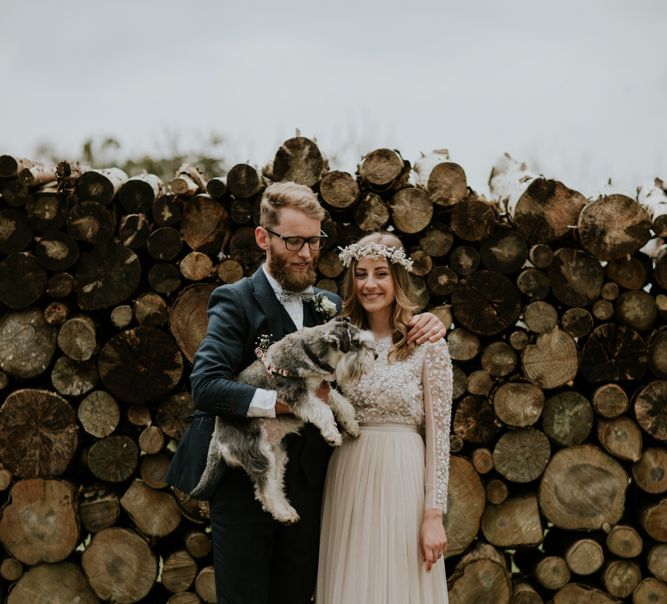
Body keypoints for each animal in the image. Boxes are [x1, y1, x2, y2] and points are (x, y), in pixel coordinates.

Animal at [189, 316, 376, 524]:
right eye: (356, 343)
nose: (375, 355)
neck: (309, 353)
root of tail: (218, 436)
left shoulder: (320, 389)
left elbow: (340, 403)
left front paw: (351, 426)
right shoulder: (295, 393)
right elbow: (323, 411)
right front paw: (333, 435)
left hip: (275, 455)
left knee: (274, 484)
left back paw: (287, 510)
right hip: (258, 454)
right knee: (265, 490)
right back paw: (282, 513)